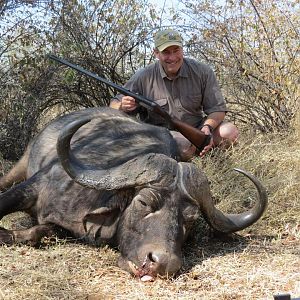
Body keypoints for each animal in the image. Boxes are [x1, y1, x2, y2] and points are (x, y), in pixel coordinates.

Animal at [0, 107, 268, 282]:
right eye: (144, 202)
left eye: (190, 220)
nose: (163, 264)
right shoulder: (32, 186)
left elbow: (42, 230)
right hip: (19, 166)